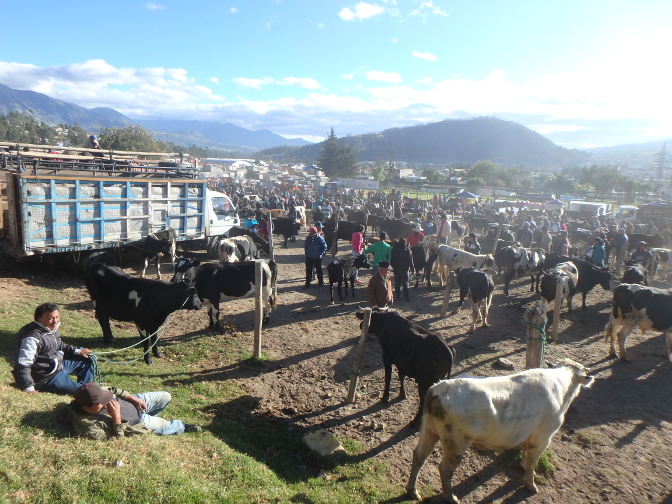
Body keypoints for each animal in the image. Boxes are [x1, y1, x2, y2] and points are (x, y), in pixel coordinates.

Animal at [404, 358, 592, 504]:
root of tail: (442, 387)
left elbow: (526, 456)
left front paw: (523, 466)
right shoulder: (542, 438)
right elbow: (533, 462)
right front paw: (530, 484)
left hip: (429, 430)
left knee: (419, 456)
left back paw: (412, 492)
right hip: (456, 443)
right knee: (444, 469)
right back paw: (451, 498)